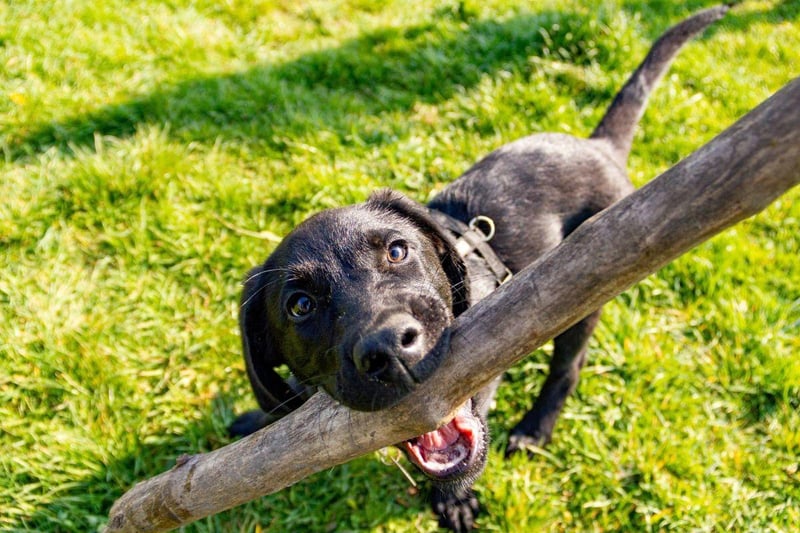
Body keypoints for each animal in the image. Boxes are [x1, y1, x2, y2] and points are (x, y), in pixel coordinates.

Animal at [233, 6, 732, 528]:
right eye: (300, 306)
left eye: (397, 251)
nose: (389, 347)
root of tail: (599, 148)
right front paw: (258, 417)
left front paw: (454, 499)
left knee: (568, 366)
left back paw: (535, 427)